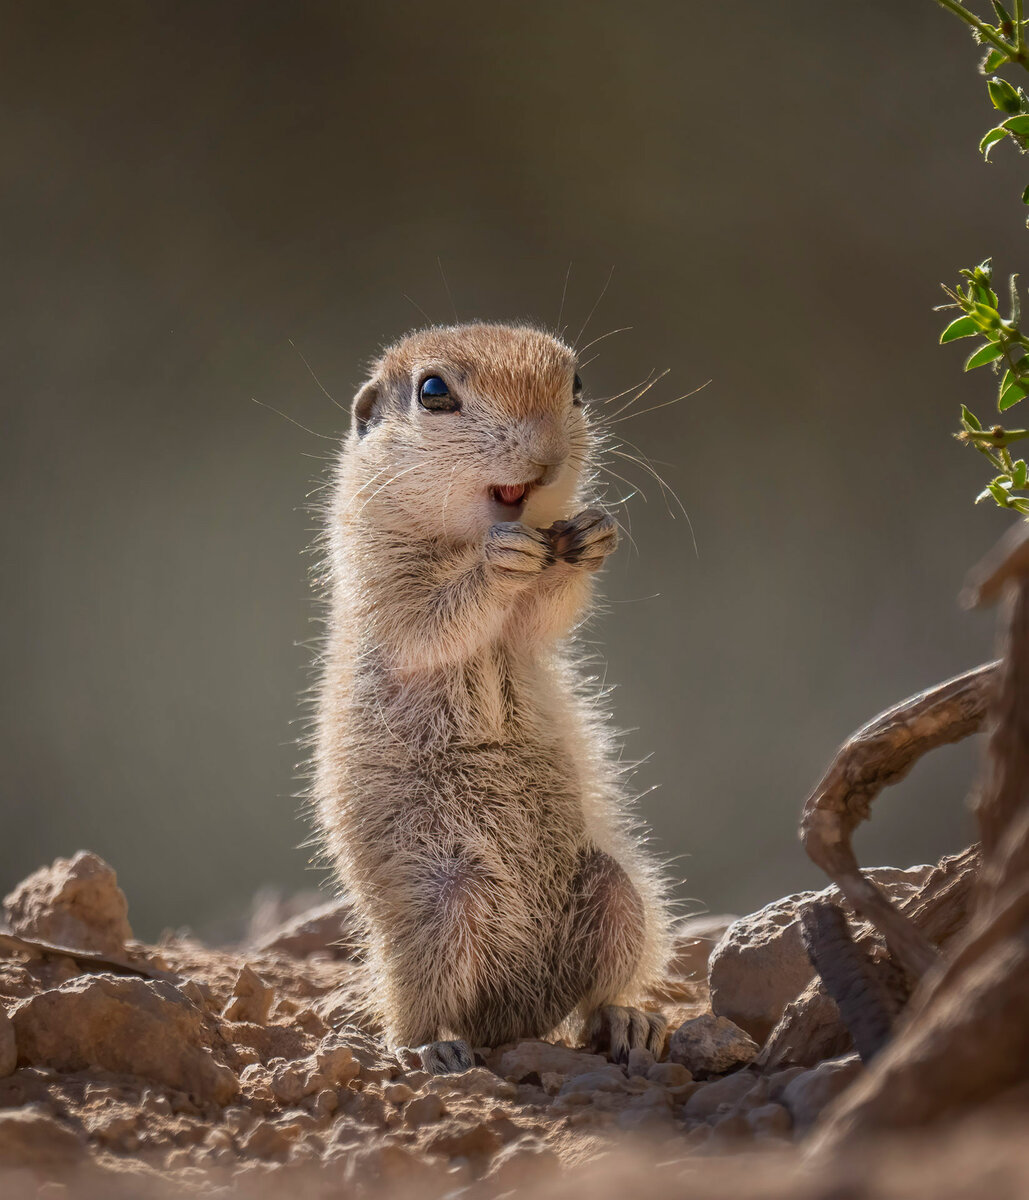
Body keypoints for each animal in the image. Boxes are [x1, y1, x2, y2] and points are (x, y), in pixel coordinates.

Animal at [309, 324, 671, 1075]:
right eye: (433, 392)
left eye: (577, 385)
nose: (546, 453)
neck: (477, 532)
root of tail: (518, 1011)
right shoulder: (383, 582)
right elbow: (431, 620)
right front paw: (496, 567)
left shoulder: (528, 625)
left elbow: (543, 617)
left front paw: (592, 535)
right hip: (442, 911)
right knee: (421, 1004)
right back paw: (432, 1049)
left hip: (617, 892)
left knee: (593, 1000)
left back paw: (627, 1020)